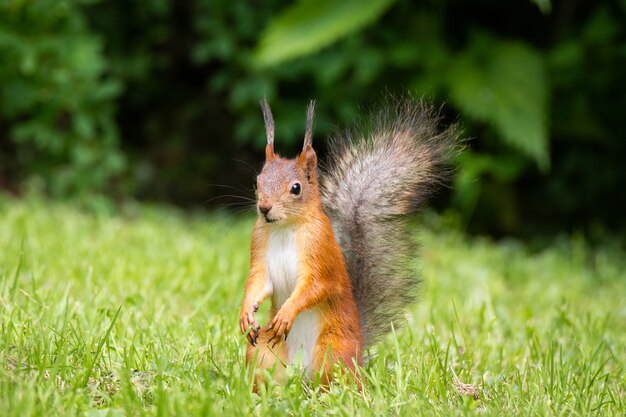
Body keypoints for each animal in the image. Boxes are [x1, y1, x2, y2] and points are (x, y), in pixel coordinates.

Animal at [236, 96, 456, 386]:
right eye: (257, 182)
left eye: (296, 188)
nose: (264, 208)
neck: (285, 228)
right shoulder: (260, 245)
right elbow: (258, 282)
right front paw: (246, 313)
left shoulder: (320, 249)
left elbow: (316, 286)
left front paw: (286, 312)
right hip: (264, 351)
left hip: (333, 349)